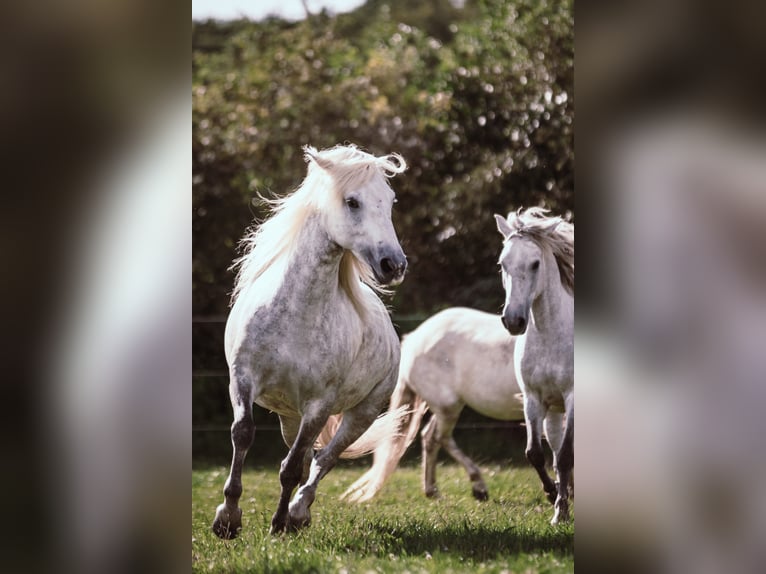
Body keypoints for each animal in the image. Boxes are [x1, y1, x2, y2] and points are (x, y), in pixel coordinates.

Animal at [213, 144, 412, 540]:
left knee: (323, 459)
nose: (394, 265)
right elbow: (243, 435)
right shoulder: (242, 379)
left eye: (390, 201)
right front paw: (228, 519)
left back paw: (298, 513)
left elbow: (293, 468)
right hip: (289, 416)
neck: (297, 314)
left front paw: (278, 524)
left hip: (360, 414)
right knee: (306, 457)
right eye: (352, 201)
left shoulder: (319, 405)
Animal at [342, 306, 528, 504]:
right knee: (440, 437)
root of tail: (414, 339)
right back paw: (478, 486)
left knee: (430, 437)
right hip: (448, 406)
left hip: (444, 408)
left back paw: (432, 491)